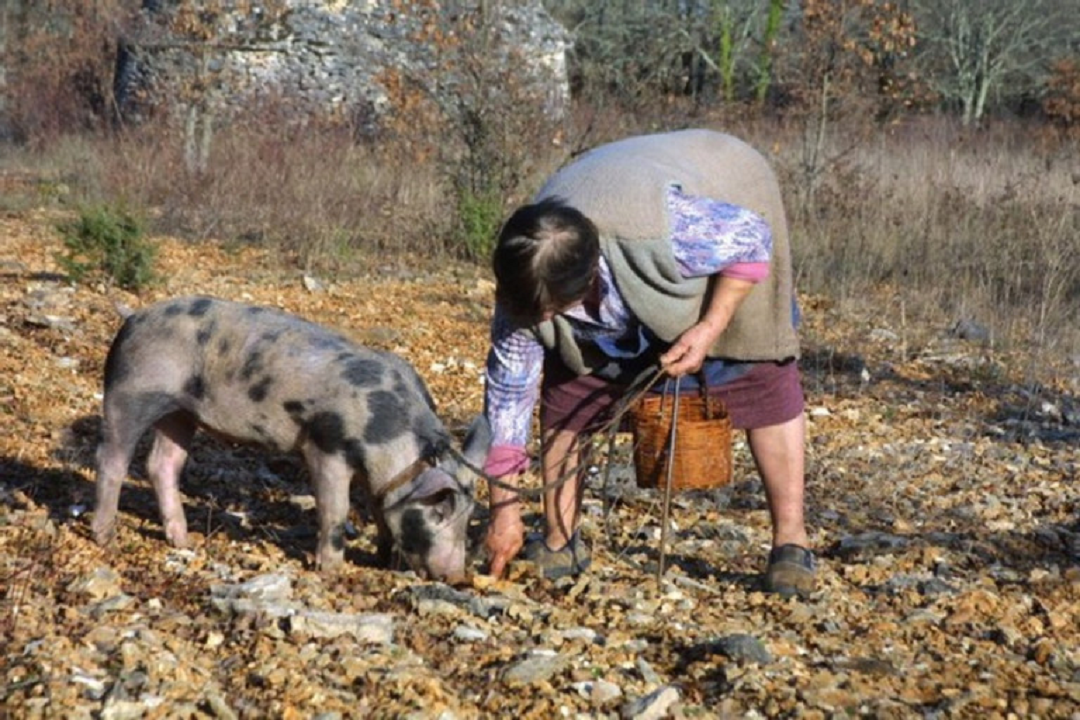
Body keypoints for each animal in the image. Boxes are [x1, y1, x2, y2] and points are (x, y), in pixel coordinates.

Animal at [91, 295, 490, 582]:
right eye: (439, 511)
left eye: (469, 516)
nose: (457, 578)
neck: (387, 436)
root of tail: (134, 316)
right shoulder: (325, 446)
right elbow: (335, 509)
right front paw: (330, 571)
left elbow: (379, 510)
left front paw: (381, 558)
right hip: (131, 391)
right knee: (111, 458)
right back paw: (105, 538)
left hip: (180, 413)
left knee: (162, 464)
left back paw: (183, 540)